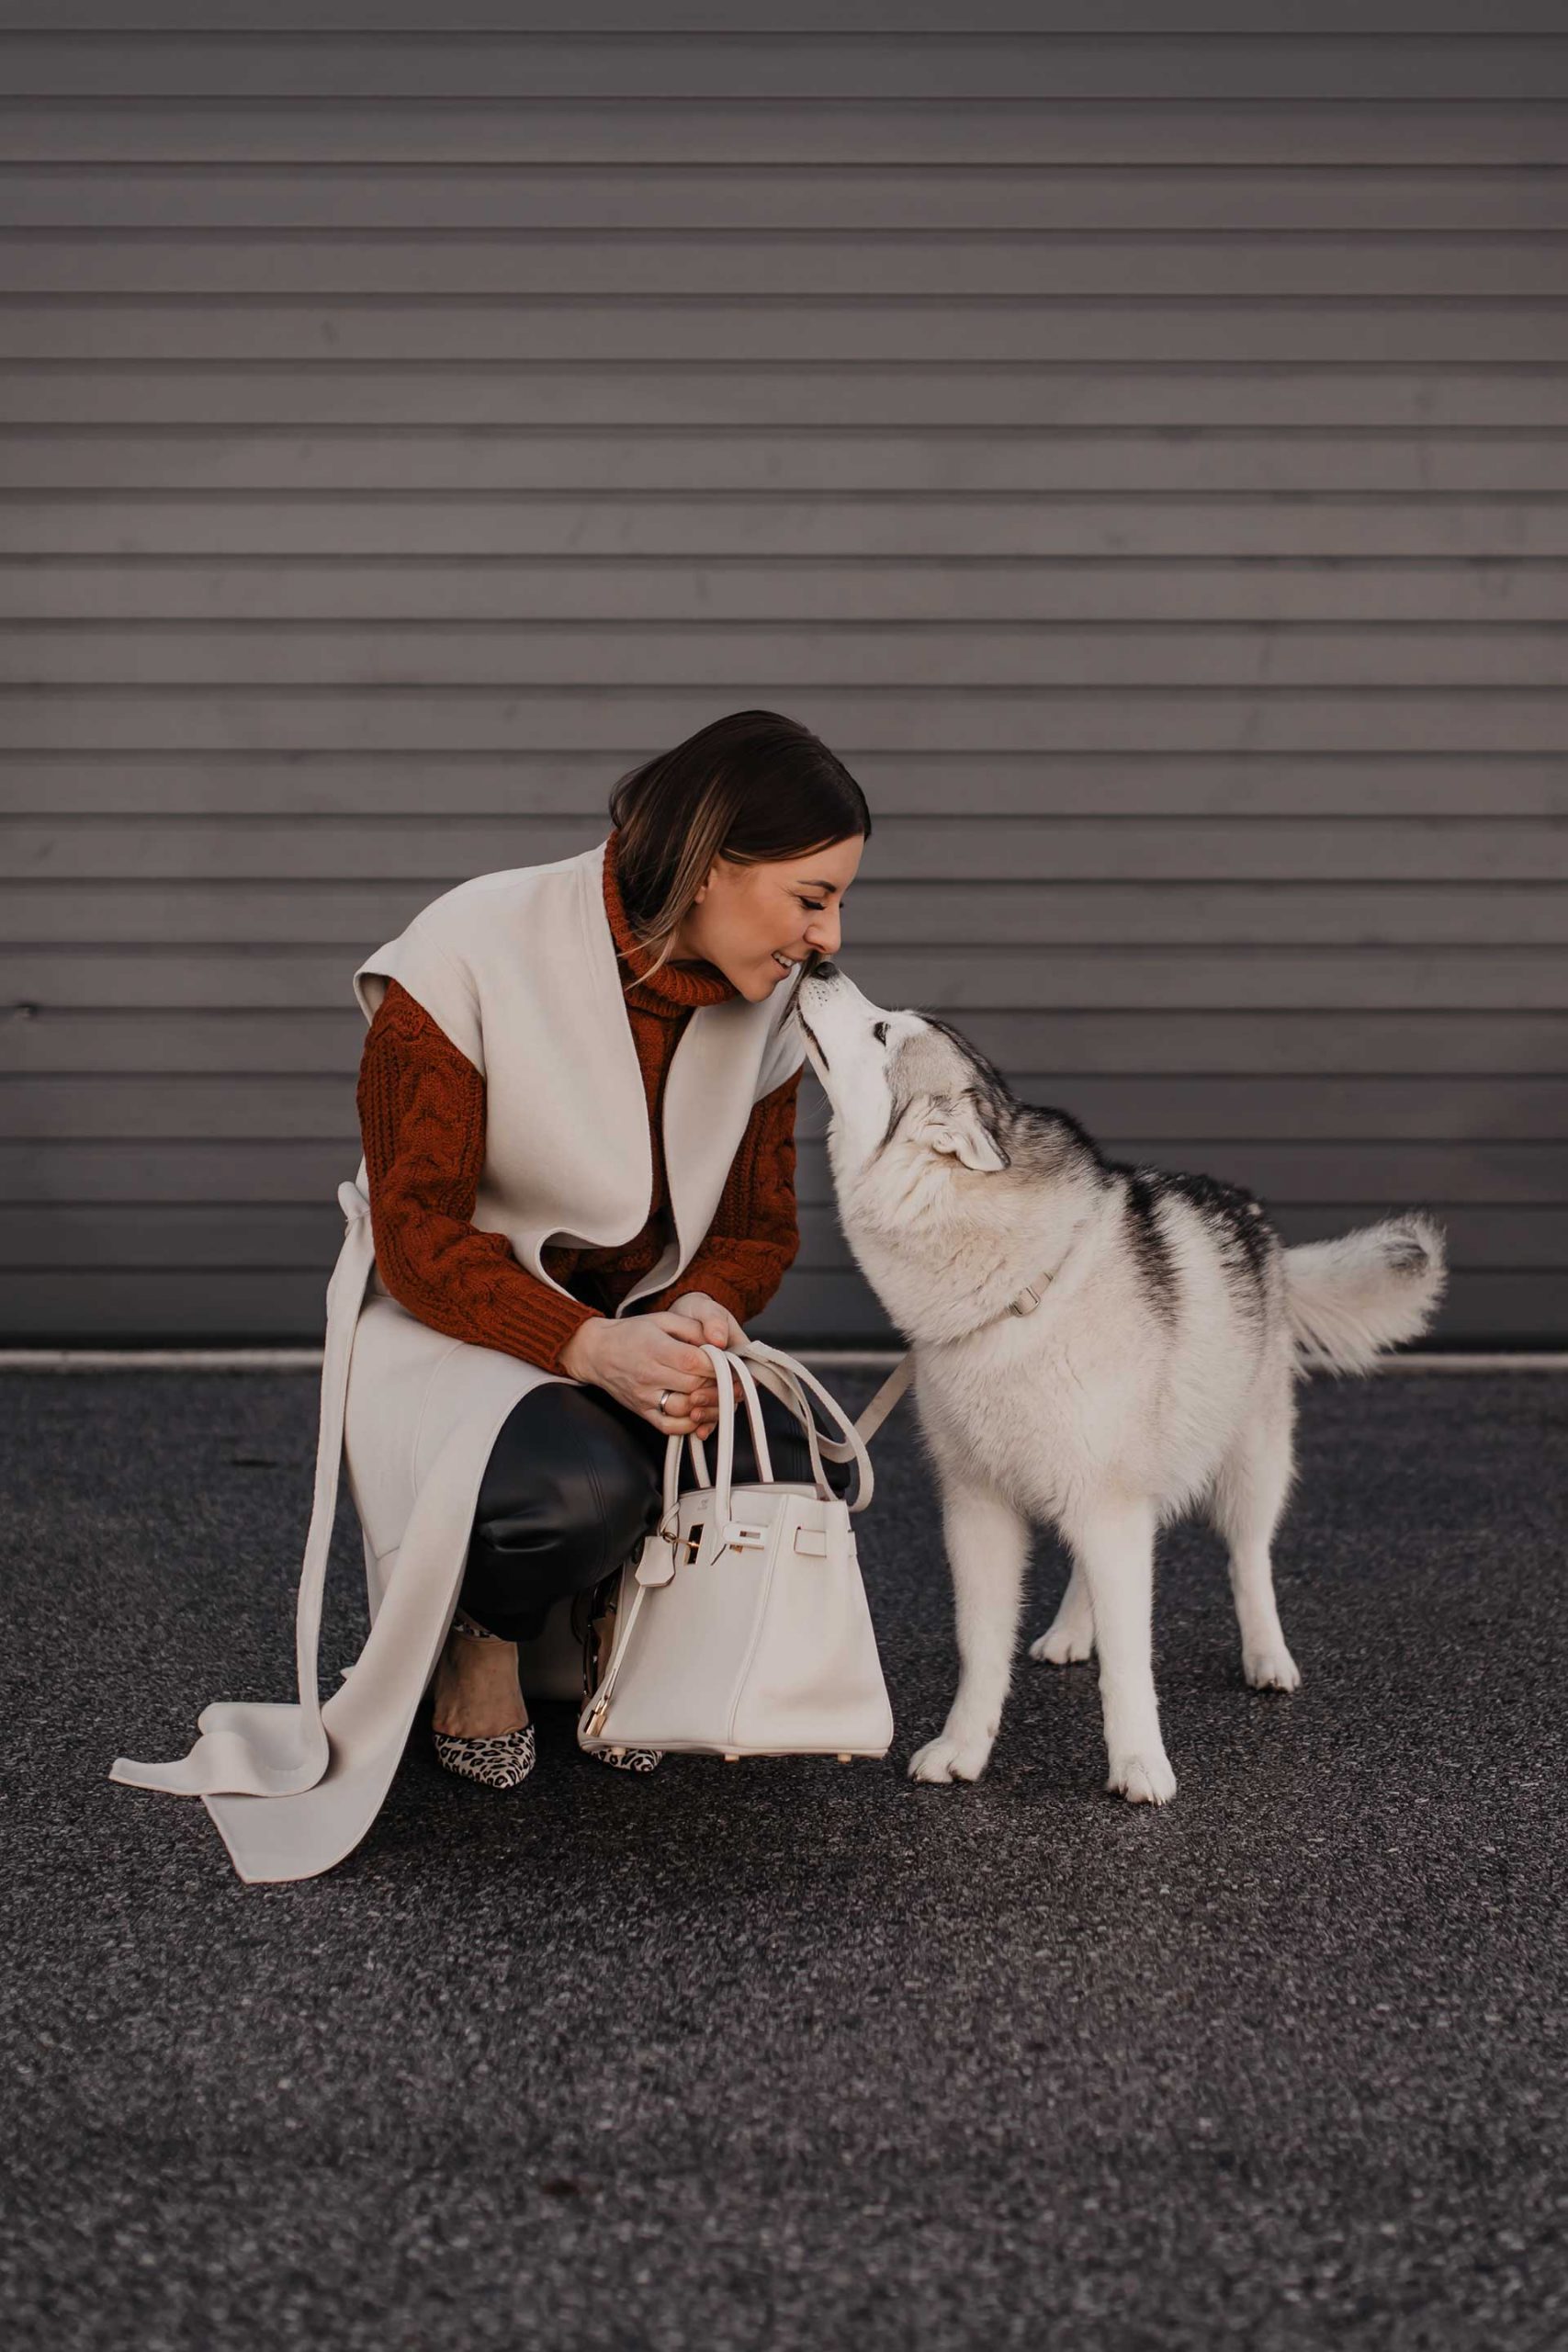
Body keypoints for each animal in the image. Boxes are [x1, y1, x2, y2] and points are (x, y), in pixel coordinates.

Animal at [799, 955, 1448, 1796]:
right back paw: (1076, 1629)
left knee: (1249, 1560)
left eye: (881, 1030)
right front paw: (964, 1747)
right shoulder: (979, 1508)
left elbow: (1132, 1664)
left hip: (1250, 1461)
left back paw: (1265, 1655)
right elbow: (981, 1649)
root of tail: (1256, 1220)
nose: (818, 960)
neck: (1019, 1291)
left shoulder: (1110, 1503)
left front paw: (1139, 1762)